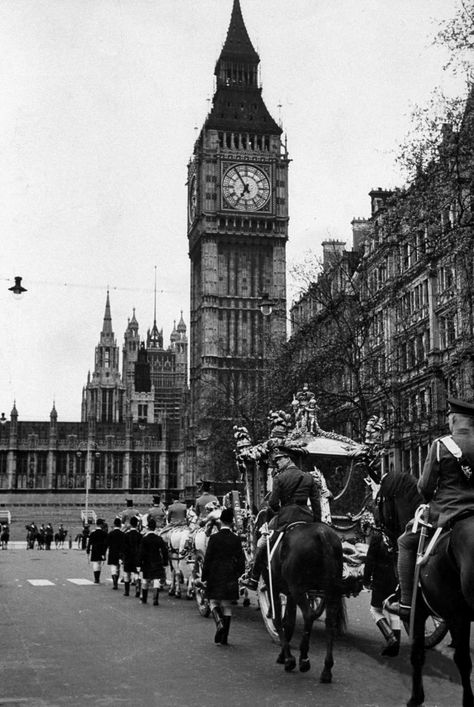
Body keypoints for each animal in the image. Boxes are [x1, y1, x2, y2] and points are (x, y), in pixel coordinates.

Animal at [262, 516, 346, 684]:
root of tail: (322, 534)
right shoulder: (289, 594)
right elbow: (288, 623)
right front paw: (283, 655)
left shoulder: (274, 587)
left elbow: (279, 621)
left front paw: (288, 659)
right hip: (331, 590)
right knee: (330, 623)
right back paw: (326, 669)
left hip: (298, 589)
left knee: (308, 615)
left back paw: (304, 659)